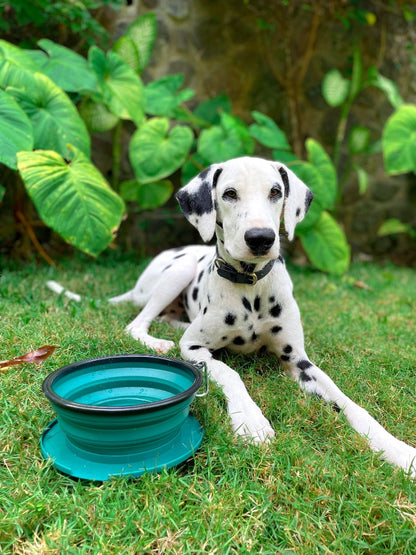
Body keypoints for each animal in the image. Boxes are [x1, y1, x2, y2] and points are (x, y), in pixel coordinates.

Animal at [110, 155, 416, 478]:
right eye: (230, 193)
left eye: (275, 191)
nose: (260, 238)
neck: (251, 285)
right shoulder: (193, 347)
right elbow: (229, 374)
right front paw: (250, 420)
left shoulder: (299, 360)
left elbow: (348, 402)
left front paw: (397, 449)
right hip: (178, 271)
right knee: (136, 324)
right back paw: (157, 342)